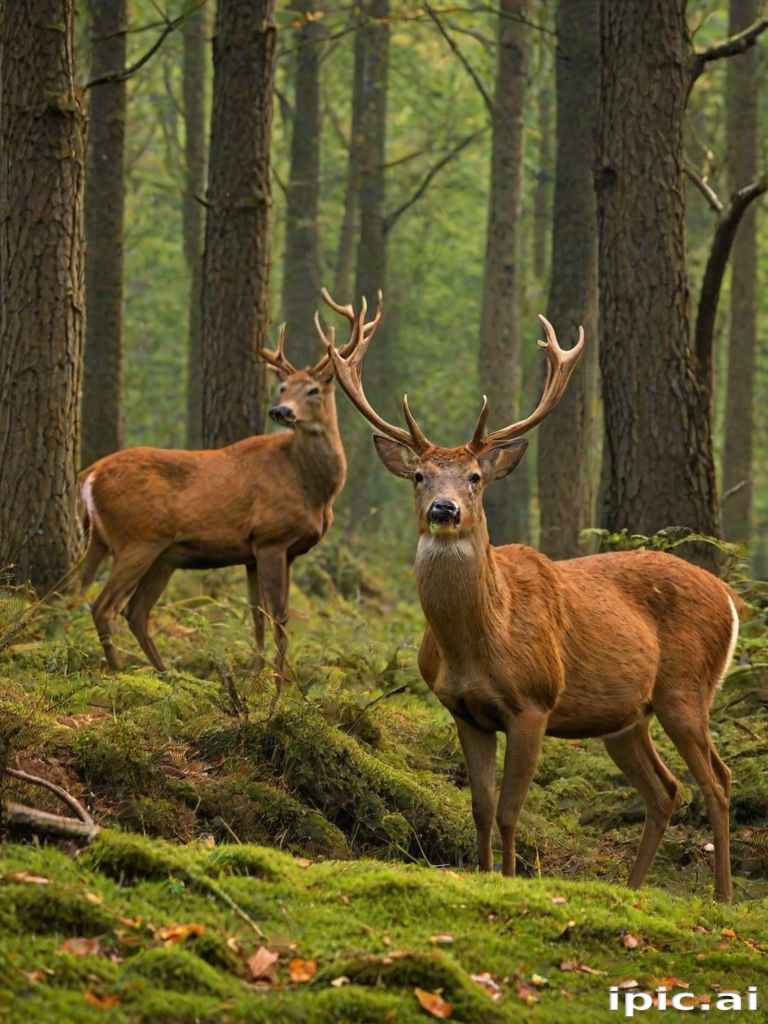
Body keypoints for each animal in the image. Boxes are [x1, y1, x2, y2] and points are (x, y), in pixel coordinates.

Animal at [77, 297, 382, 687]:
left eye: (313, 390)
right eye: (282, 388)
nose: (280, 411)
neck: (314, 490)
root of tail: (89, 475)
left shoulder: (257, 552)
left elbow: (257, 617)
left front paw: (255, 679)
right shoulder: (271, 538)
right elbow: (279, 617)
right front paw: (281, 685)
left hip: (155, 553)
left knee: (132, 610)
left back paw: (168, 674)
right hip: (138, 539)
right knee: (105, 606)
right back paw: (119, 671)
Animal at [318, 294, 739, 901]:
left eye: (475, 476)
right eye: (419, 476)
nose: (443, 509)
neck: (476, 645)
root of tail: (729, 598)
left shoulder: (534, 703)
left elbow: (510, 811)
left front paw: (513, 880)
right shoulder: (464, 711)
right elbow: (478, 807)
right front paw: (481, 874)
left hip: (687, 688)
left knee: (719, 780)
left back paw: (723, 897)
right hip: (625, 717)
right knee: (665, 789)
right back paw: (633, 889)